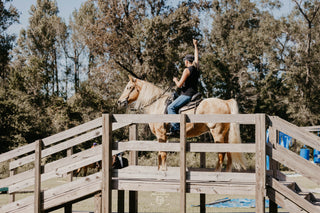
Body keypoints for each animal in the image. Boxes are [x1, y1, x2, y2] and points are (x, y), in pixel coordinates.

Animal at [117, 75, 245, 171]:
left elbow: (163, 154)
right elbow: (160, 155)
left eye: (129, 87)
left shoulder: (161, 135)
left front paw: (163, 172)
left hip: (217, 134)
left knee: (221, 154)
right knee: (229, 155)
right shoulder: (161, 137)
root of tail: (225, 102)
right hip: (226, 134)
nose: (119, 102)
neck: (157, 104)